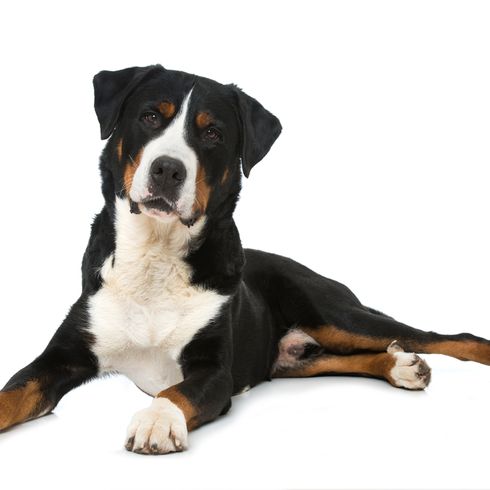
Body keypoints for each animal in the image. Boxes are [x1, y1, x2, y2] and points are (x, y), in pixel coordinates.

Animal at [0, 65, 490, 456]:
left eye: (212, 133)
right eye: (150, 116)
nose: (167, 169)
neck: (156, 257)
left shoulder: (214, 371)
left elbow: (175, 392)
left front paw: (156, 420)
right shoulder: (63, 355)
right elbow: (14, 391)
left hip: (335, 313)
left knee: (441, 336)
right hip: (293, 358)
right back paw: (401, 366)